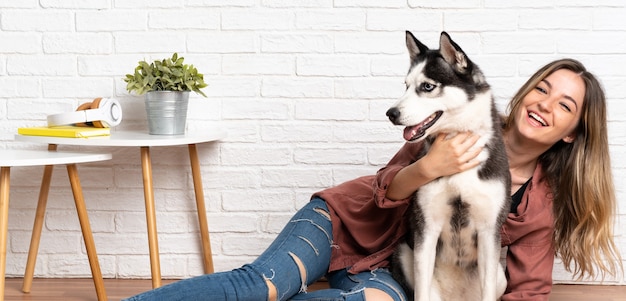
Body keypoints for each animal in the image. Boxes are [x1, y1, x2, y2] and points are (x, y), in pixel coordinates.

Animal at [386, 31, 512, 298]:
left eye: (427, 86)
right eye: (406, 86)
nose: (390, 113)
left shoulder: (489, 231)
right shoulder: (426, 229)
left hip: (500, 274)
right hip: (402, 252)